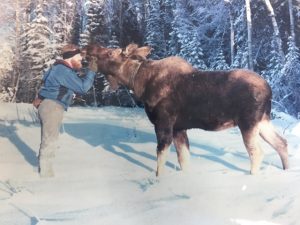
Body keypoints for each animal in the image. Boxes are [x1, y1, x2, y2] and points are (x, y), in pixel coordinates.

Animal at [85, 43, 288, 176]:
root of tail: (269, 90)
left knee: (257, 152)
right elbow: (184, 160)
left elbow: (161, 160)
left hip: (248, 123)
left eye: (110, 52)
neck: (139, 84)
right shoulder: (179, 128)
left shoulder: (164, 124)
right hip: (263, 121)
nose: (90, 48)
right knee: (281, 143)